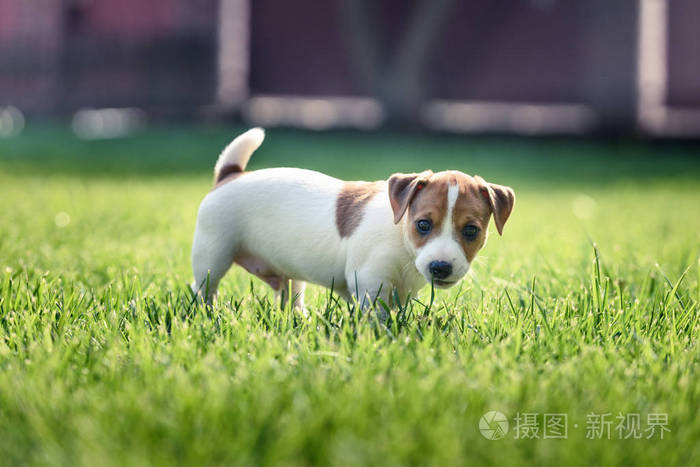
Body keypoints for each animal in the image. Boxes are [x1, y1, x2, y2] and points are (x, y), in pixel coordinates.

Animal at [191, 128, 516, 310]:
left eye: (471, 230)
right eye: (423, 224)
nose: (440, 267)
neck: (400, 236)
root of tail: (231, 175)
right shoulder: (371, 282)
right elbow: (378, 317)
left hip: (289, 275)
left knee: (290, 295)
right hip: (212, 255)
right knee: (203, 289)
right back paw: (206, 314)